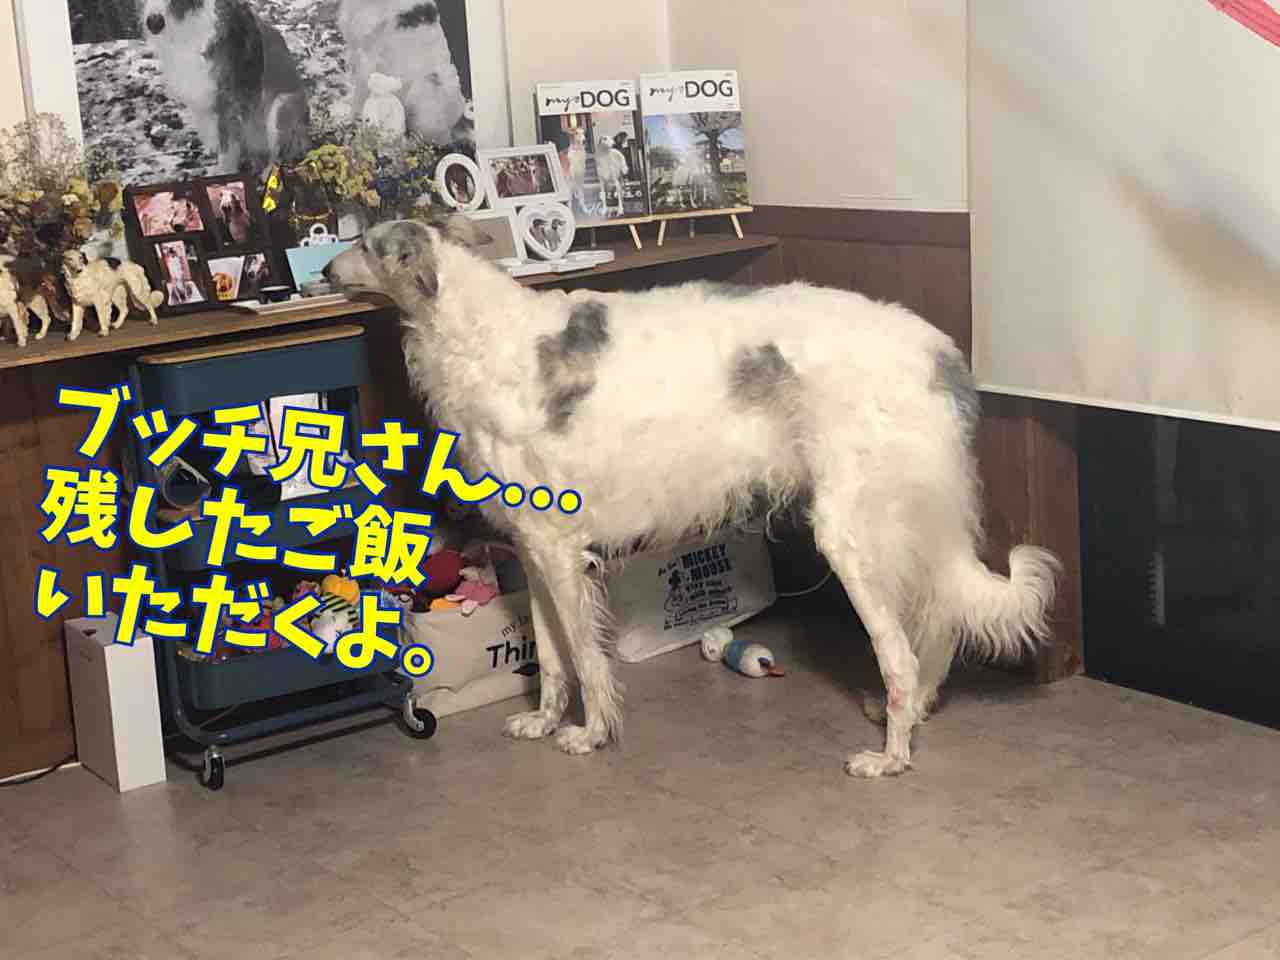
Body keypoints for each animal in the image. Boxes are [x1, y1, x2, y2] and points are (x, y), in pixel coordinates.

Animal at [141, 0, 310, 173]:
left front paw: (222, 172)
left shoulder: (229, 102)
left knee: (277, 155)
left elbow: (227, 150)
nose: (154, 23)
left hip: (281, 106)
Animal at [325, 218, 1059, 777]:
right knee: (937, 628)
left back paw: (890, 754)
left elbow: (585, 659)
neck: (474, 330)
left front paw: (591, 734)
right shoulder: (532, 548)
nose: (325, 271)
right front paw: (540, 720)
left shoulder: (558, 551)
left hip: (852, 533)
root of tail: (939, 353)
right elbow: (552, 658)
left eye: (364, 242)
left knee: (903, 651)